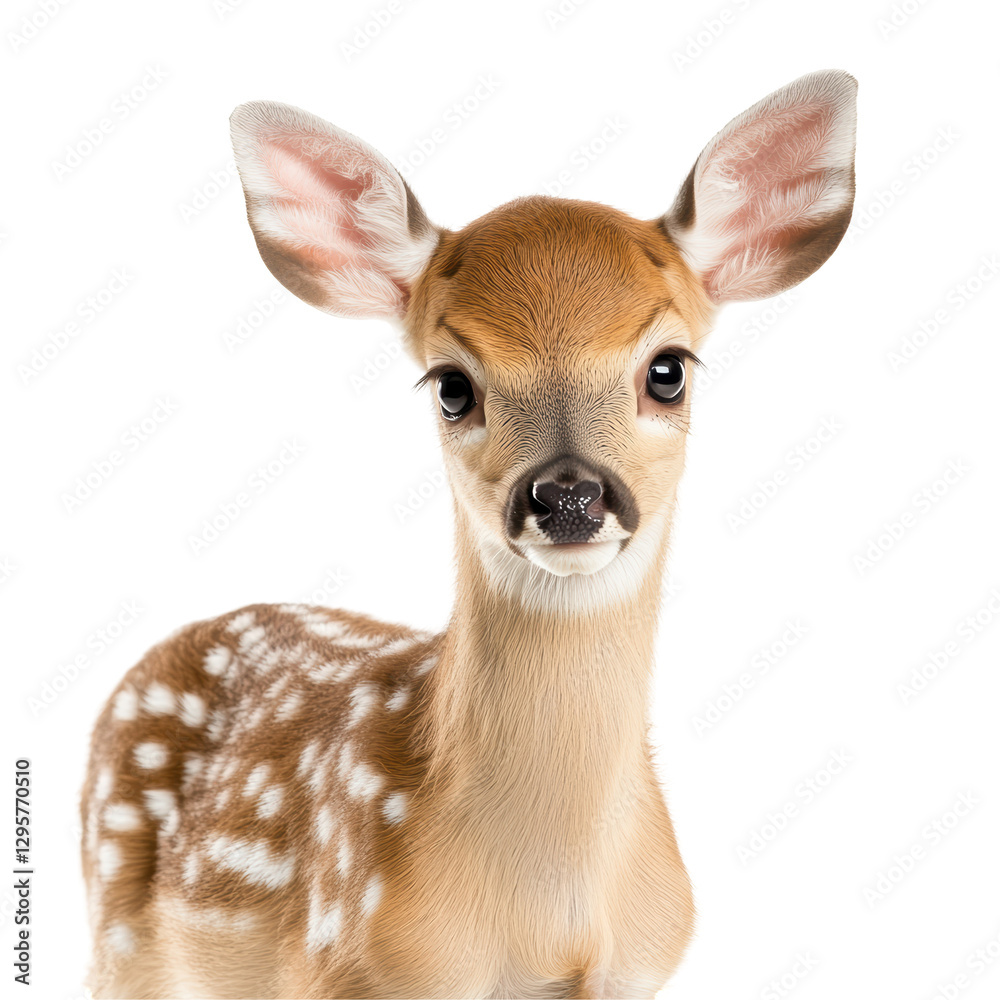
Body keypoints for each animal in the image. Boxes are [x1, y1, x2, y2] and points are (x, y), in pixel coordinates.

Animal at [80, 69, 857, 999]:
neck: (549, 918)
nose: (569, 496)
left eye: (667, 369)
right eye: (453, 386)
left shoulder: (637, 970)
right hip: (118, 935)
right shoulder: (346, 968)